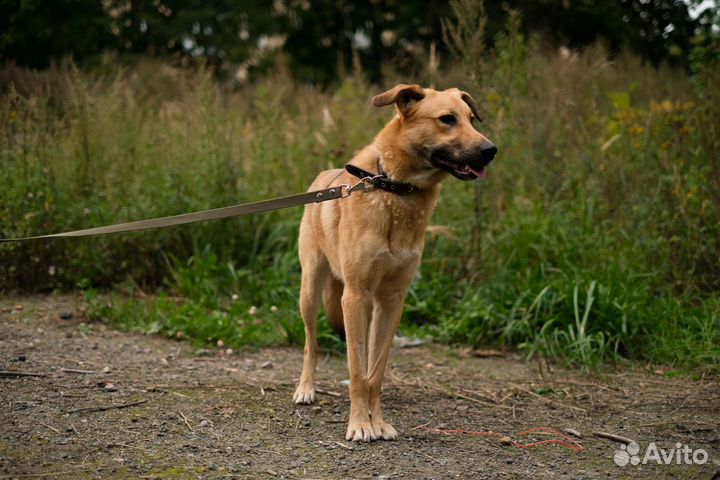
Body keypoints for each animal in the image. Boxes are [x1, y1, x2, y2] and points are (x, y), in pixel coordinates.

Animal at [292, 83, 496, 442]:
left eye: (471, 119)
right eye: (447, 119)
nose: (491, 150)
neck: (393, 188)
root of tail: (322, 178)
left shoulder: (391, 300)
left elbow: (374, 370)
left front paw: (378, 421)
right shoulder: (355, 295)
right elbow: (357, 370)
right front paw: (360, 424)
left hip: (367, 308)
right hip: (311, 290)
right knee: (311, 343)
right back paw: (306, 388)